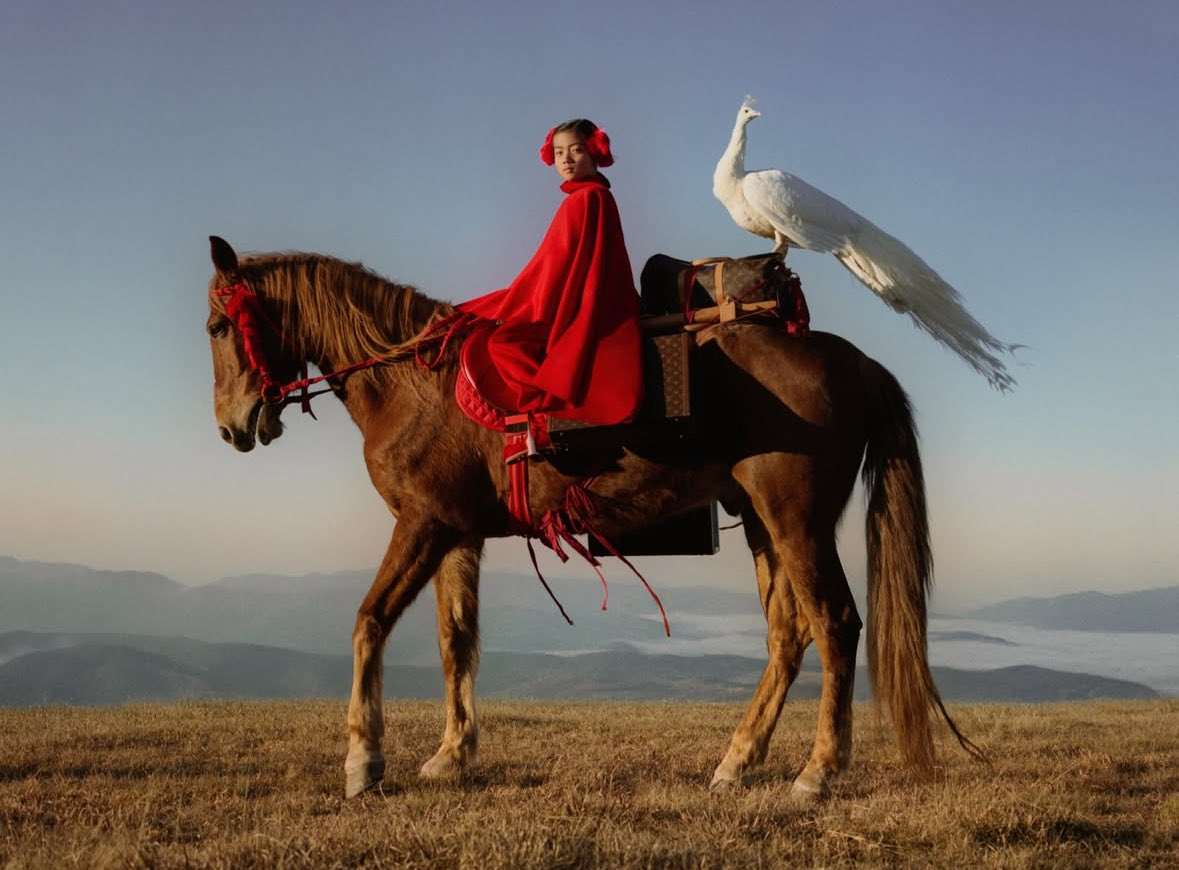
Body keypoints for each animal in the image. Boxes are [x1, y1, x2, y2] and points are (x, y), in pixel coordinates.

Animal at [203, 235, 979, 801]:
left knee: (835, 623)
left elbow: (369, 623)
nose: (232, 428)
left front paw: (363, 760)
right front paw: (452, 754)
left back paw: (816, 772)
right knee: (789, 633)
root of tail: (851, 359)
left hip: (798, 518)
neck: (414, 385)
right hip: (763, 520)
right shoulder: (456, 535)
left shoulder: (421, 526)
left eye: (217, 325)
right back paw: (736, 761)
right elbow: (456, 640)